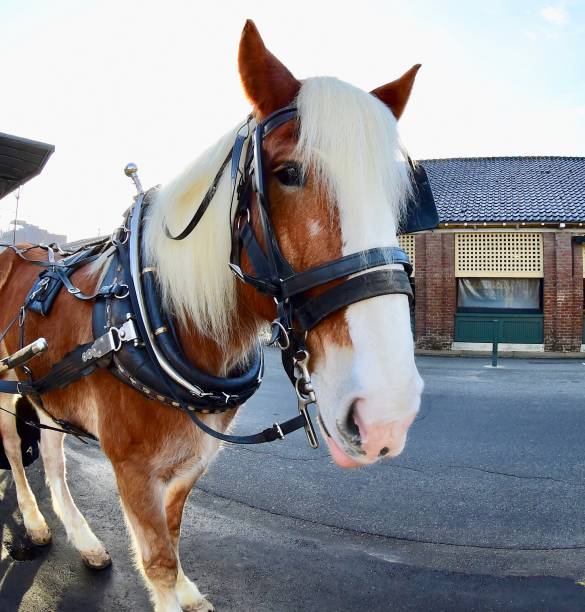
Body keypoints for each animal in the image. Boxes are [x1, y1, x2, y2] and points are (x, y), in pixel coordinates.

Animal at [0, 19, 422, 612]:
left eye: (398, 195)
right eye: (288, 172)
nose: (387, 414)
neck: (155, 319)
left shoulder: (193, 458)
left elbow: (175, 533)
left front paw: (187, 588)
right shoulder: (131, 467)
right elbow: (156, 560)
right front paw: (170, 588)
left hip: (45, 387)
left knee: (55, 456)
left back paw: (82, 539)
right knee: (17, 451)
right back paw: (36, 524)